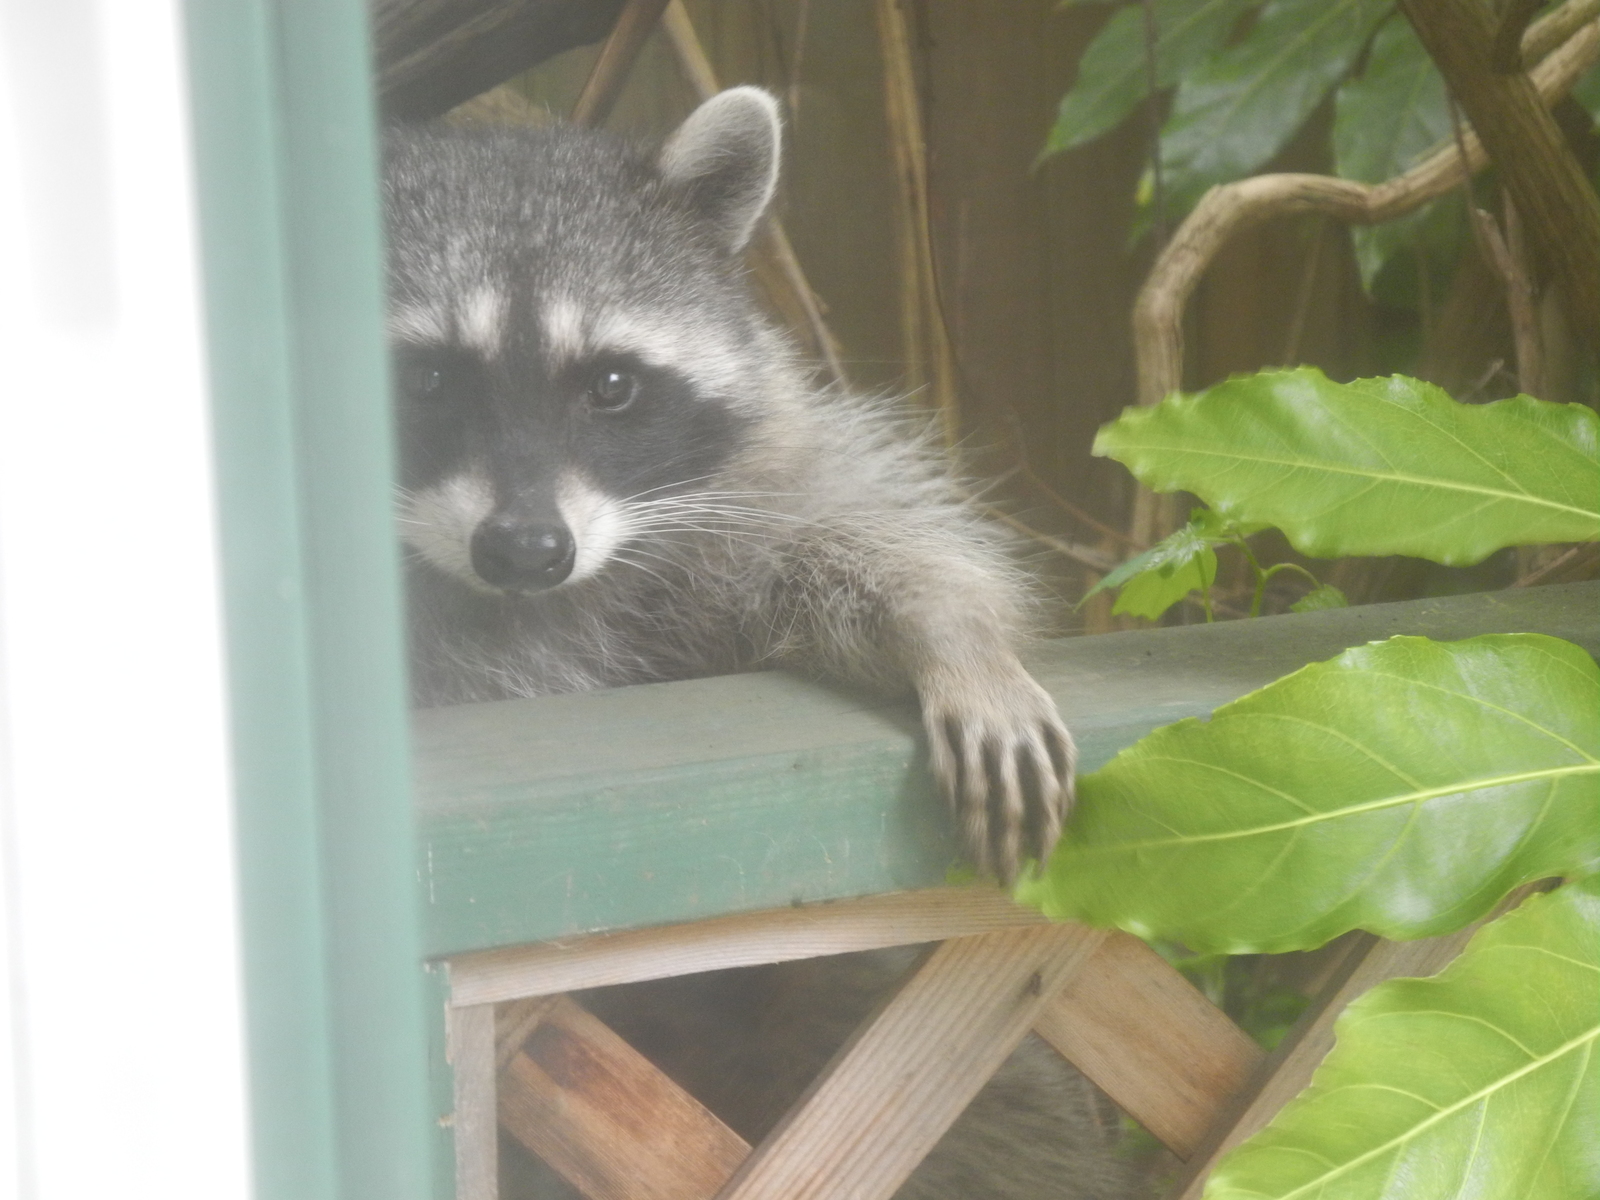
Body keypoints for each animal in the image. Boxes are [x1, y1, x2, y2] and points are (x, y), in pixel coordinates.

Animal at [387, 86, 1139, 1200]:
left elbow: (832, 552)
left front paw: (945, 628)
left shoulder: (732, 504)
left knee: (1004, 1115)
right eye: (429, 380)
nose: (526, 549)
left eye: (611, 384)